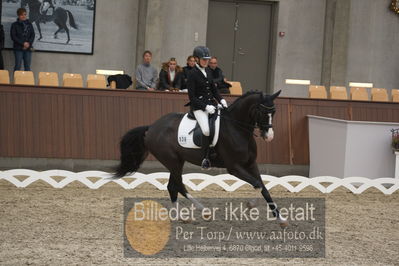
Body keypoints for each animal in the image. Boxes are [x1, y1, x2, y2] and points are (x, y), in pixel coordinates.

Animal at [114, 91, 290, 227]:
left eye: (274, 112)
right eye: (262, 112)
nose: (269, 136)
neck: (237, 129)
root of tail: (151, 127)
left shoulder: (251, 164)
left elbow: (263, 187)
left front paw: (280, 219)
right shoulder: (234, 167)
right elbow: (257, 185)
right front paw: (251, 205)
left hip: (177, 161)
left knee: (172, 187)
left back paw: (181, 217)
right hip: (172, 161)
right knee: (179, 186)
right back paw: (204, 211)